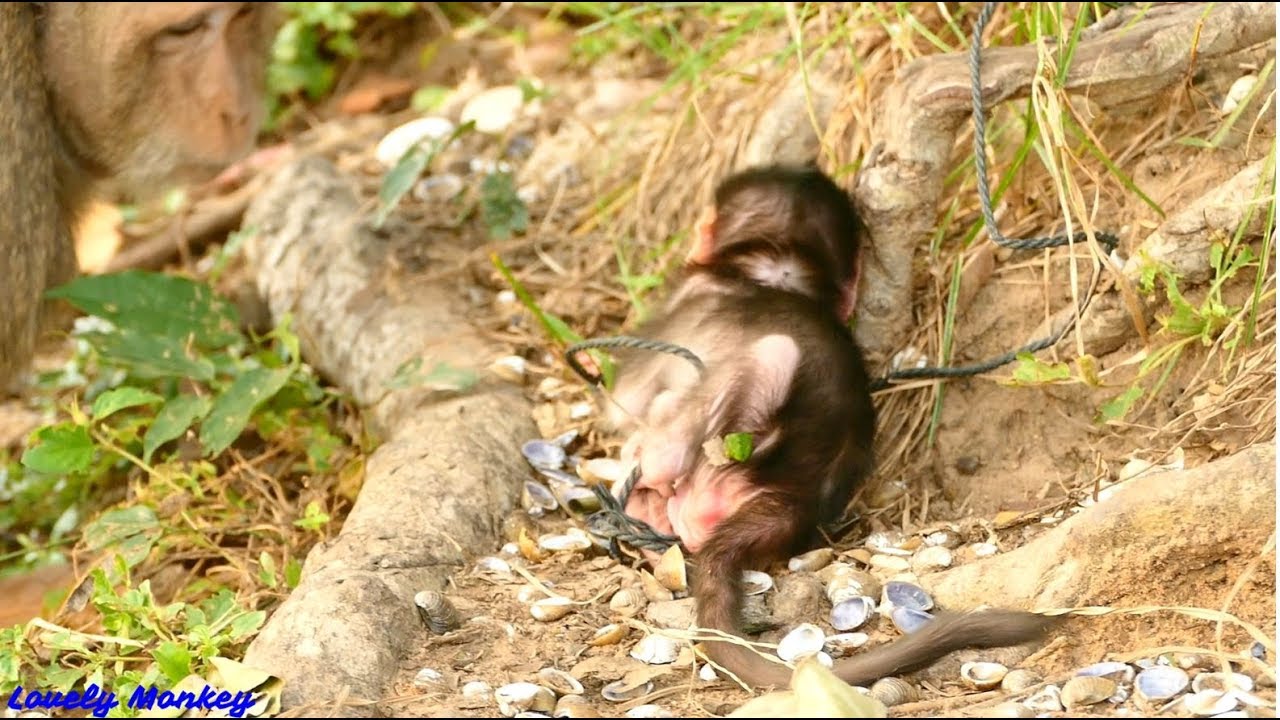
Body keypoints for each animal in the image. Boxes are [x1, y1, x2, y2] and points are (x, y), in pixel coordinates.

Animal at [595, 165, 1056, 690]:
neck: (778, 273)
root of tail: (795, 499)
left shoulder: (679, 309)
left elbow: (625, 397)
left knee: (764, 360)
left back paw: (650, 475)